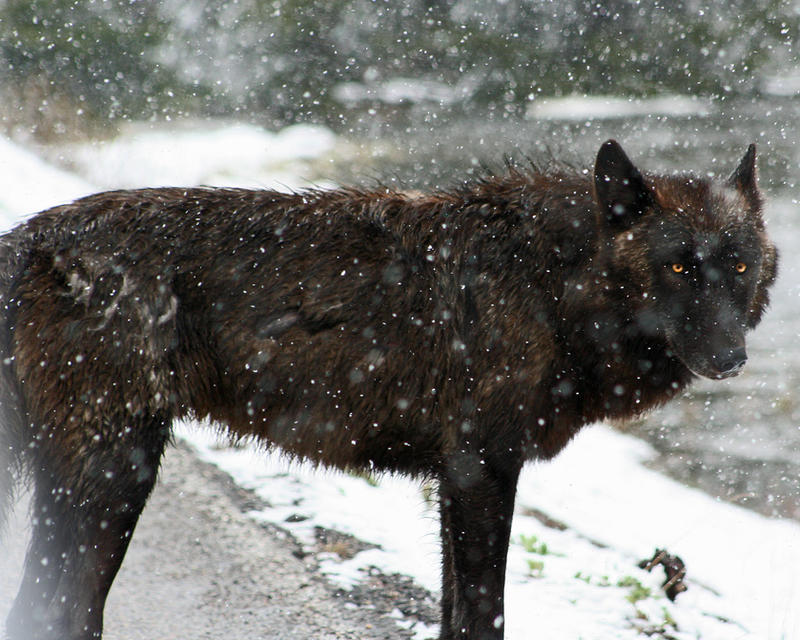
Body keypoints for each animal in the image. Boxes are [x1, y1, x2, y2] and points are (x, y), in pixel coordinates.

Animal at [0, 139, 780, 636]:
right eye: (678, 267)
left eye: (740, 268)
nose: (731, 358)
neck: (551, 286)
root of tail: (31, 235)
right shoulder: (481, 471)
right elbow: (483, 615)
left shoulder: (457, 480)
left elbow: (452, 615)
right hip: (116, 475)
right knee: (59, 609)